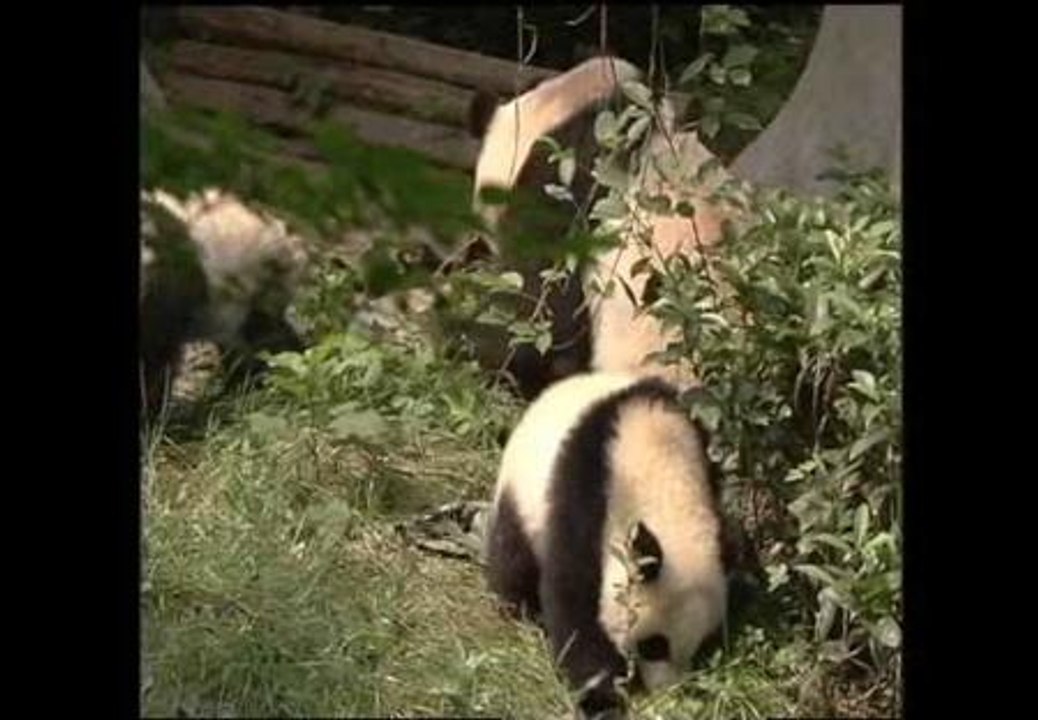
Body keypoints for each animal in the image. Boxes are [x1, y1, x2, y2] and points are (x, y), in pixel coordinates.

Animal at [485, 370, 729, 718]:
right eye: (654, 645)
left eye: (700, 643)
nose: (666, 692)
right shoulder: (584, 501)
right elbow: (572, 598)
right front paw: (601, 698)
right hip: (522, 493)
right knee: (512, 555)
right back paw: (519, 607)